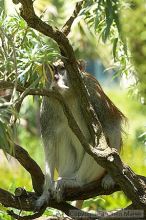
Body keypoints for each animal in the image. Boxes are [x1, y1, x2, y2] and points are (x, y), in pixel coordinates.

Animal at [36, 59, 125, 208]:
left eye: (62, 68)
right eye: (53, 69)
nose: (56, 78)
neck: (69, 94)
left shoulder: (92, 89)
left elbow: (112, 126)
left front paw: (111, 177)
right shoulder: (48, 100)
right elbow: (49, 145)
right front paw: (45, 194)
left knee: (97, 142)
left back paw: (77, 182)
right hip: (69, 168)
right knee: (62, 137)